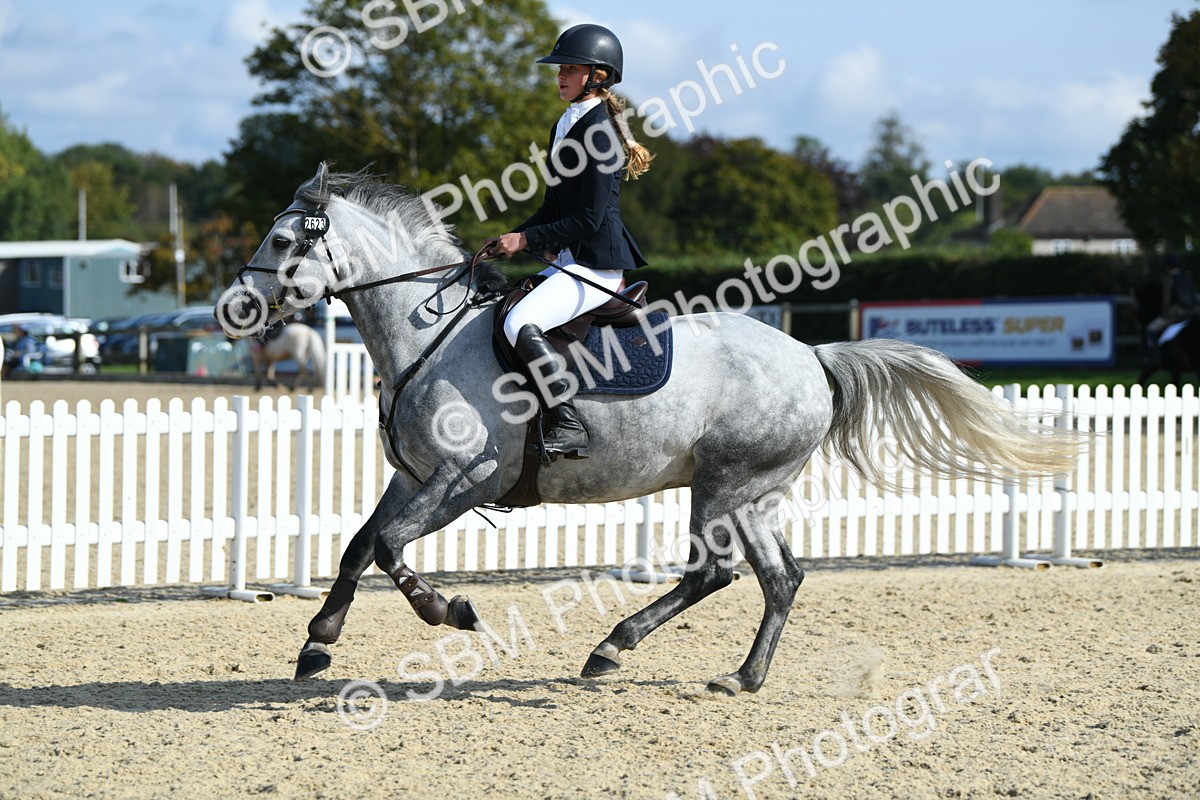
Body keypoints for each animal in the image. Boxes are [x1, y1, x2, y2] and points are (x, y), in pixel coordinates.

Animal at [216, 163, 1085, 697]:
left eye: (284, 241)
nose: (232, 309)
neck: (430, 334)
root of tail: (813, 355)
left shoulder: (462, 481)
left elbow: (393, 549)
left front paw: (451, 612)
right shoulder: (415, 476)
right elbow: (360, 545)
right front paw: (318, 641)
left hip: (723, 484)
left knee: (715, 574)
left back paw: (612, 647)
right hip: (752, 494)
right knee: (779, 579)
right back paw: (740, 676)